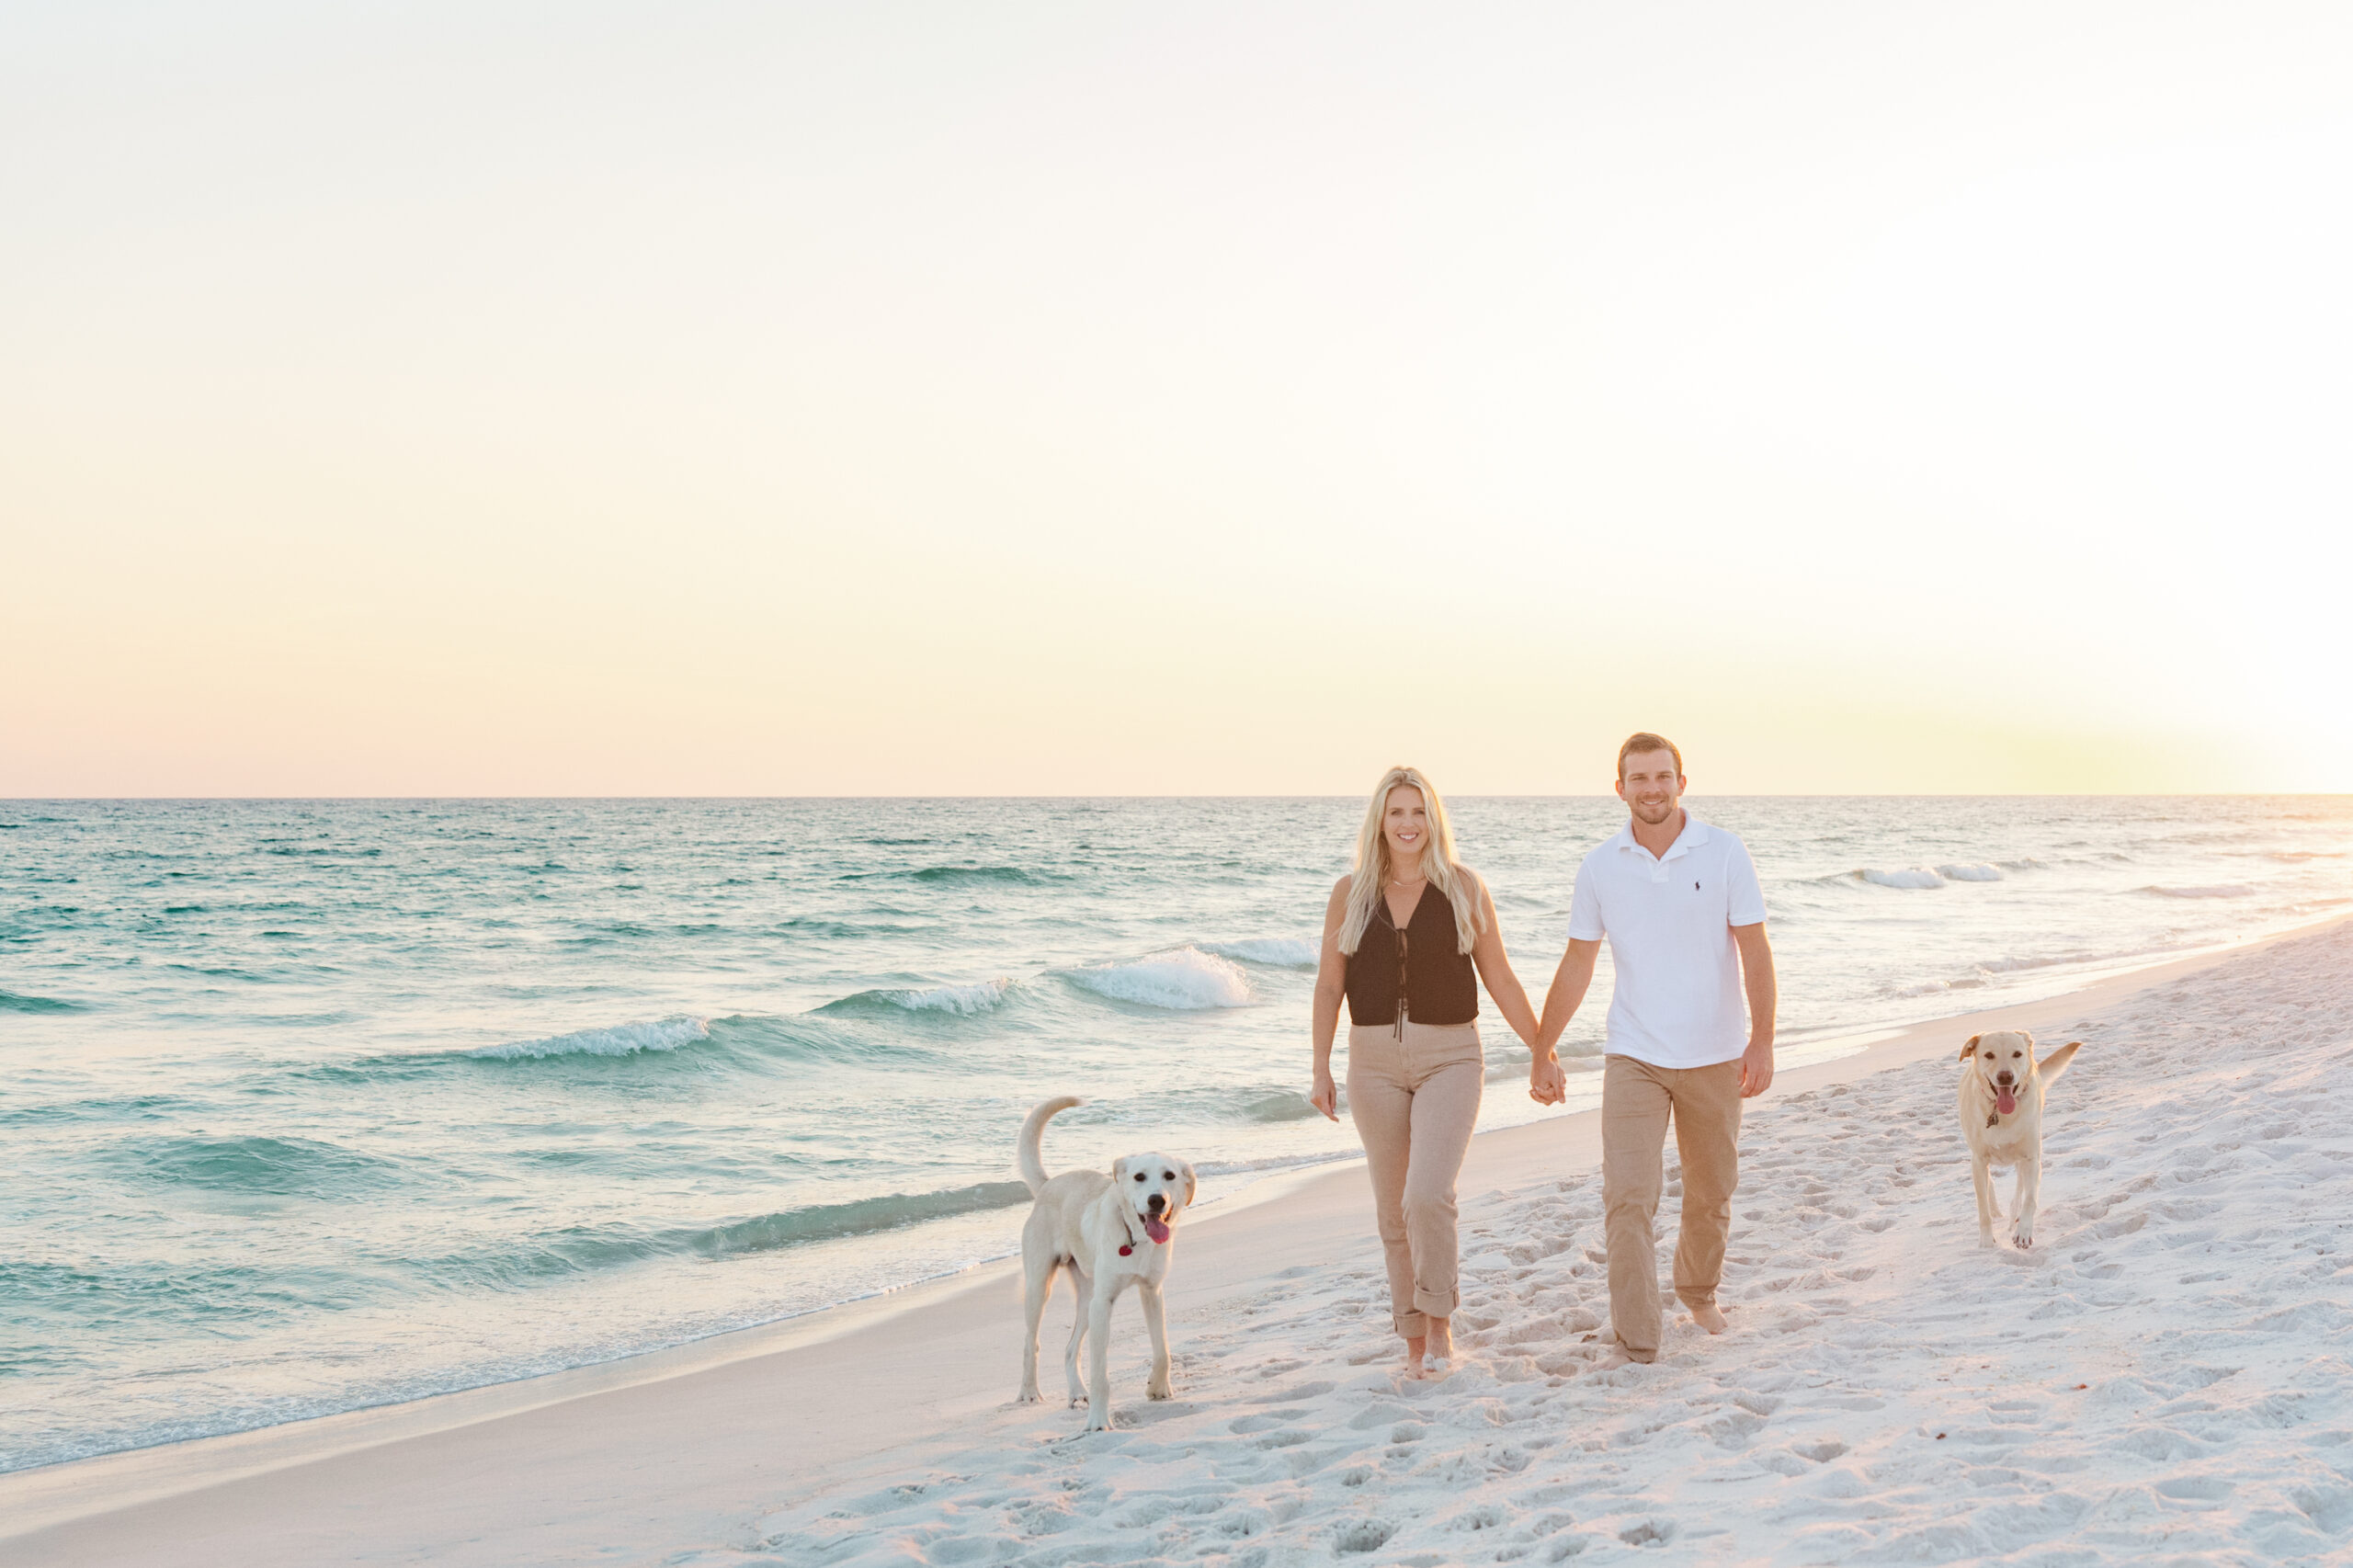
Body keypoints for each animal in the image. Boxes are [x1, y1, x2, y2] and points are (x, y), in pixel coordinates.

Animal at [1011, 1092, 1195, 1422]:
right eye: (1139, 1177)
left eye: (1170, 1176)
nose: (1157, 1200)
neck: (1135, 1238)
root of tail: (1047, 1184)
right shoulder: (1104, 1303)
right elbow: (1100, 1373)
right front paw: (1098, 1421)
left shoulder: (1152, 1293)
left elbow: (1162, 1349)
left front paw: (1158, 1388)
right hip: (1041, 1288)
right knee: (1031, 1342)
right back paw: (1030, 1391)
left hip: (1087, 1300)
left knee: (1070, 1349)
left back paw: (1077, 1392)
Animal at [1957, 1026, 2089, 1243]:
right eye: (1989, 1055)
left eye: (2017, 1054)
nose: (2005, 1077)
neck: (2002, 1114)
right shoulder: (1978, 1159)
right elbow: (1982, 1206)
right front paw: (1987, 1240)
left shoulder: (2031, 1159)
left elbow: (2029, 1199)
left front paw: (2024, 1232)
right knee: (1989, 1186)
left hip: (2021, 1159)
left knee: (2019, 1189)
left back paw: (2014, 1218)